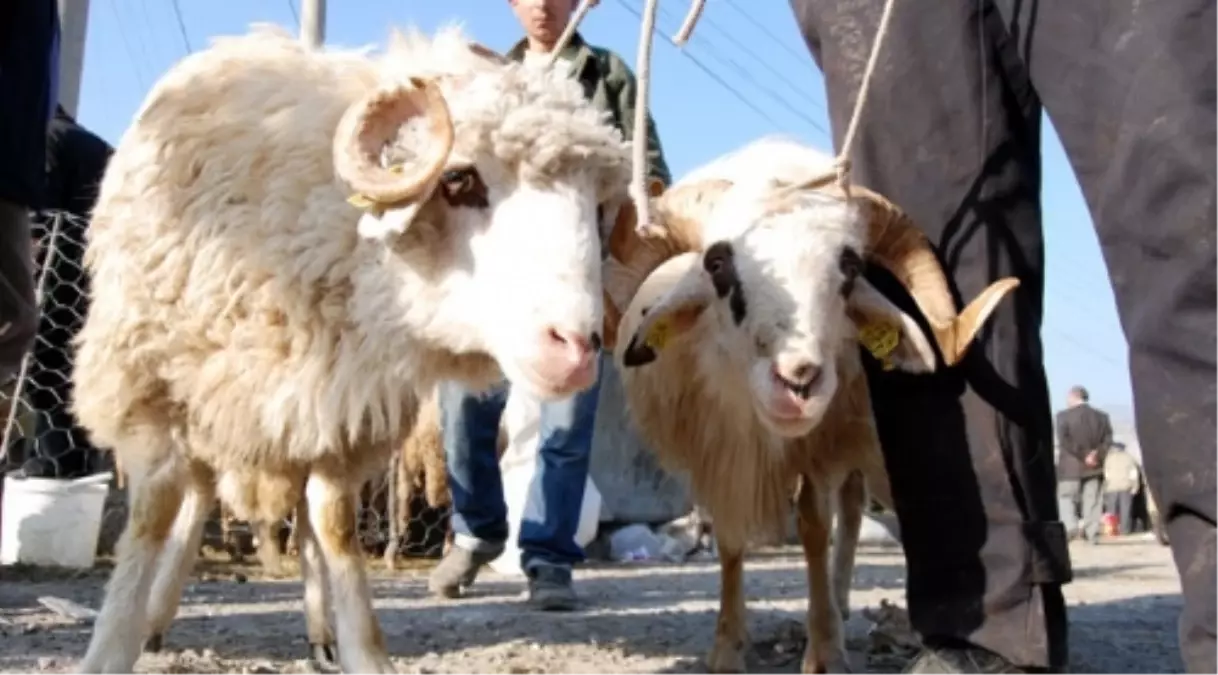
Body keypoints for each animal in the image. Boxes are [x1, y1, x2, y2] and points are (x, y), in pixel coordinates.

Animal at [70, 23, 633, 667]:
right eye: (459, 181)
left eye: (597, 208)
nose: (576, 347)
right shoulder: (150, 386)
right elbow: (154, 512)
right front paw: (110, 646)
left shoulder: (340, 411)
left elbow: (335, 525)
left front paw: (365, 650)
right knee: (201, 492)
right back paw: (159, 615)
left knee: (302, 516)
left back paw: (319, 631)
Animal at [604, 134, 1023, 667]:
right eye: (716, 264)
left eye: (850, 267)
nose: (799, 380)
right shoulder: (718, 452)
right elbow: (730, 541)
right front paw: (727, 648)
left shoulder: (820, 448)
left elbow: (814, 529)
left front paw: (823, 650)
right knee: (853, 508)